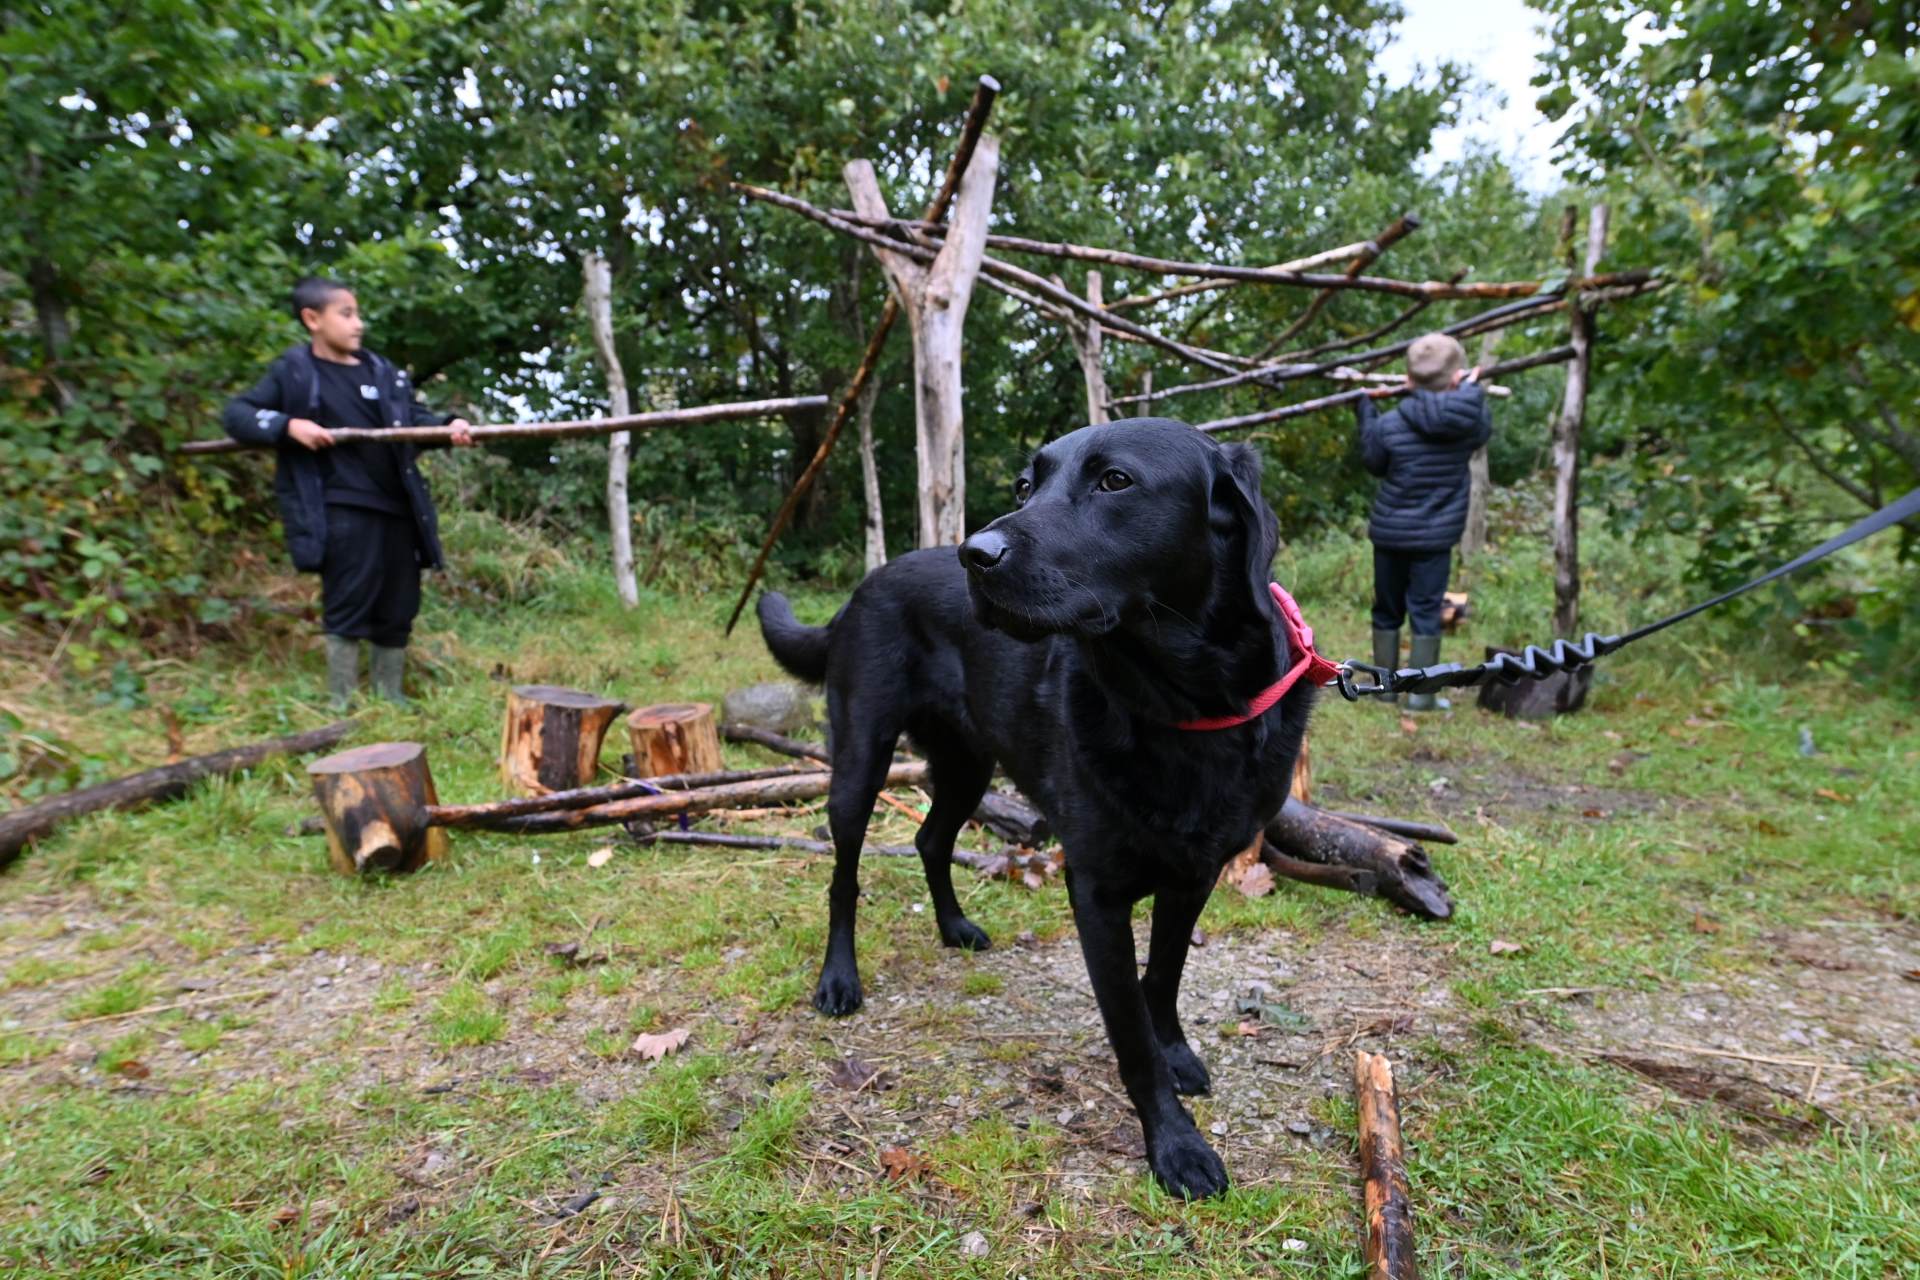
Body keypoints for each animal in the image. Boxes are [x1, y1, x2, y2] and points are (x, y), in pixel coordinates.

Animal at [756, 420, 1313, 1205]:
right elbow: (1129, 1034)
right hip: (859, 764)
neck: (1178, 707)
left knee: (931, 839)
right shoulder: (1097, 895)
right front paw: (1176, 1146)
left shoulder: (1194, 875)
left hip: (967, 764)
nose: (975, 554)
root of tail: (864, 585)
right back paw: (839, 980)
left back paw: (955, 927)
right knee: (846, 876)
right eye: (1026, 486)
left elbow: (1164, 979)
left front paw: (1176, 1052)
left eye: (1115, 481)